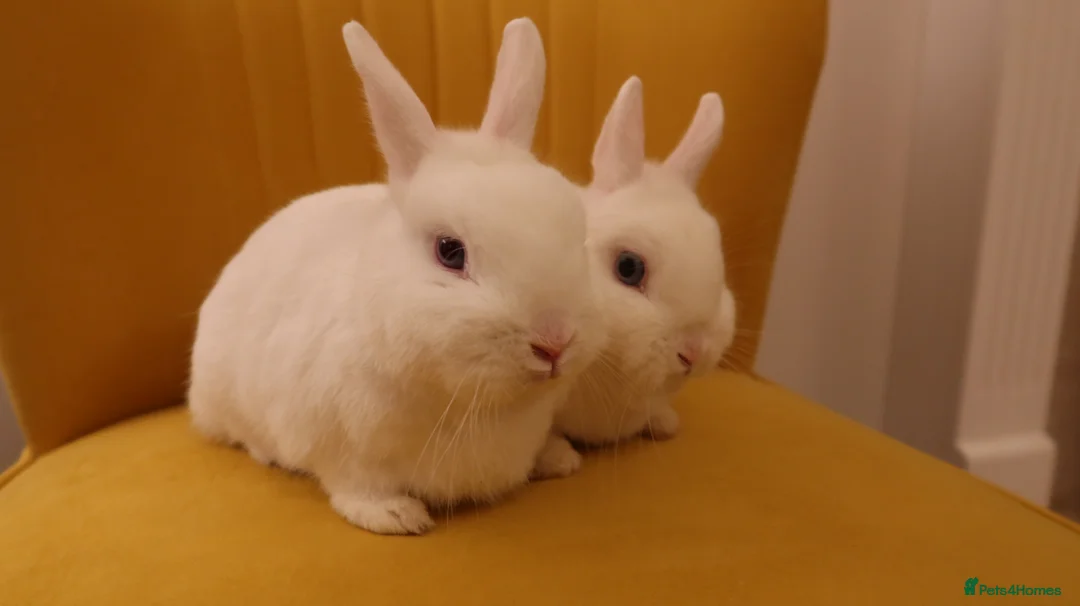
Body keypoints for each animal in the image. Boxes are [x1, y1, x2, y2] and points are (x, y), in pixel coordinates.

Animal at [187, 18, 604, 535]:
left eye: (578, 234)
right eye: (450, 252)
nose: (554, 342)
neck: (477, 404)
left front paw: (560, 458)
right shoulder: (340, 445)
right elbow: (355, 486)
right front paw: (396, 517)